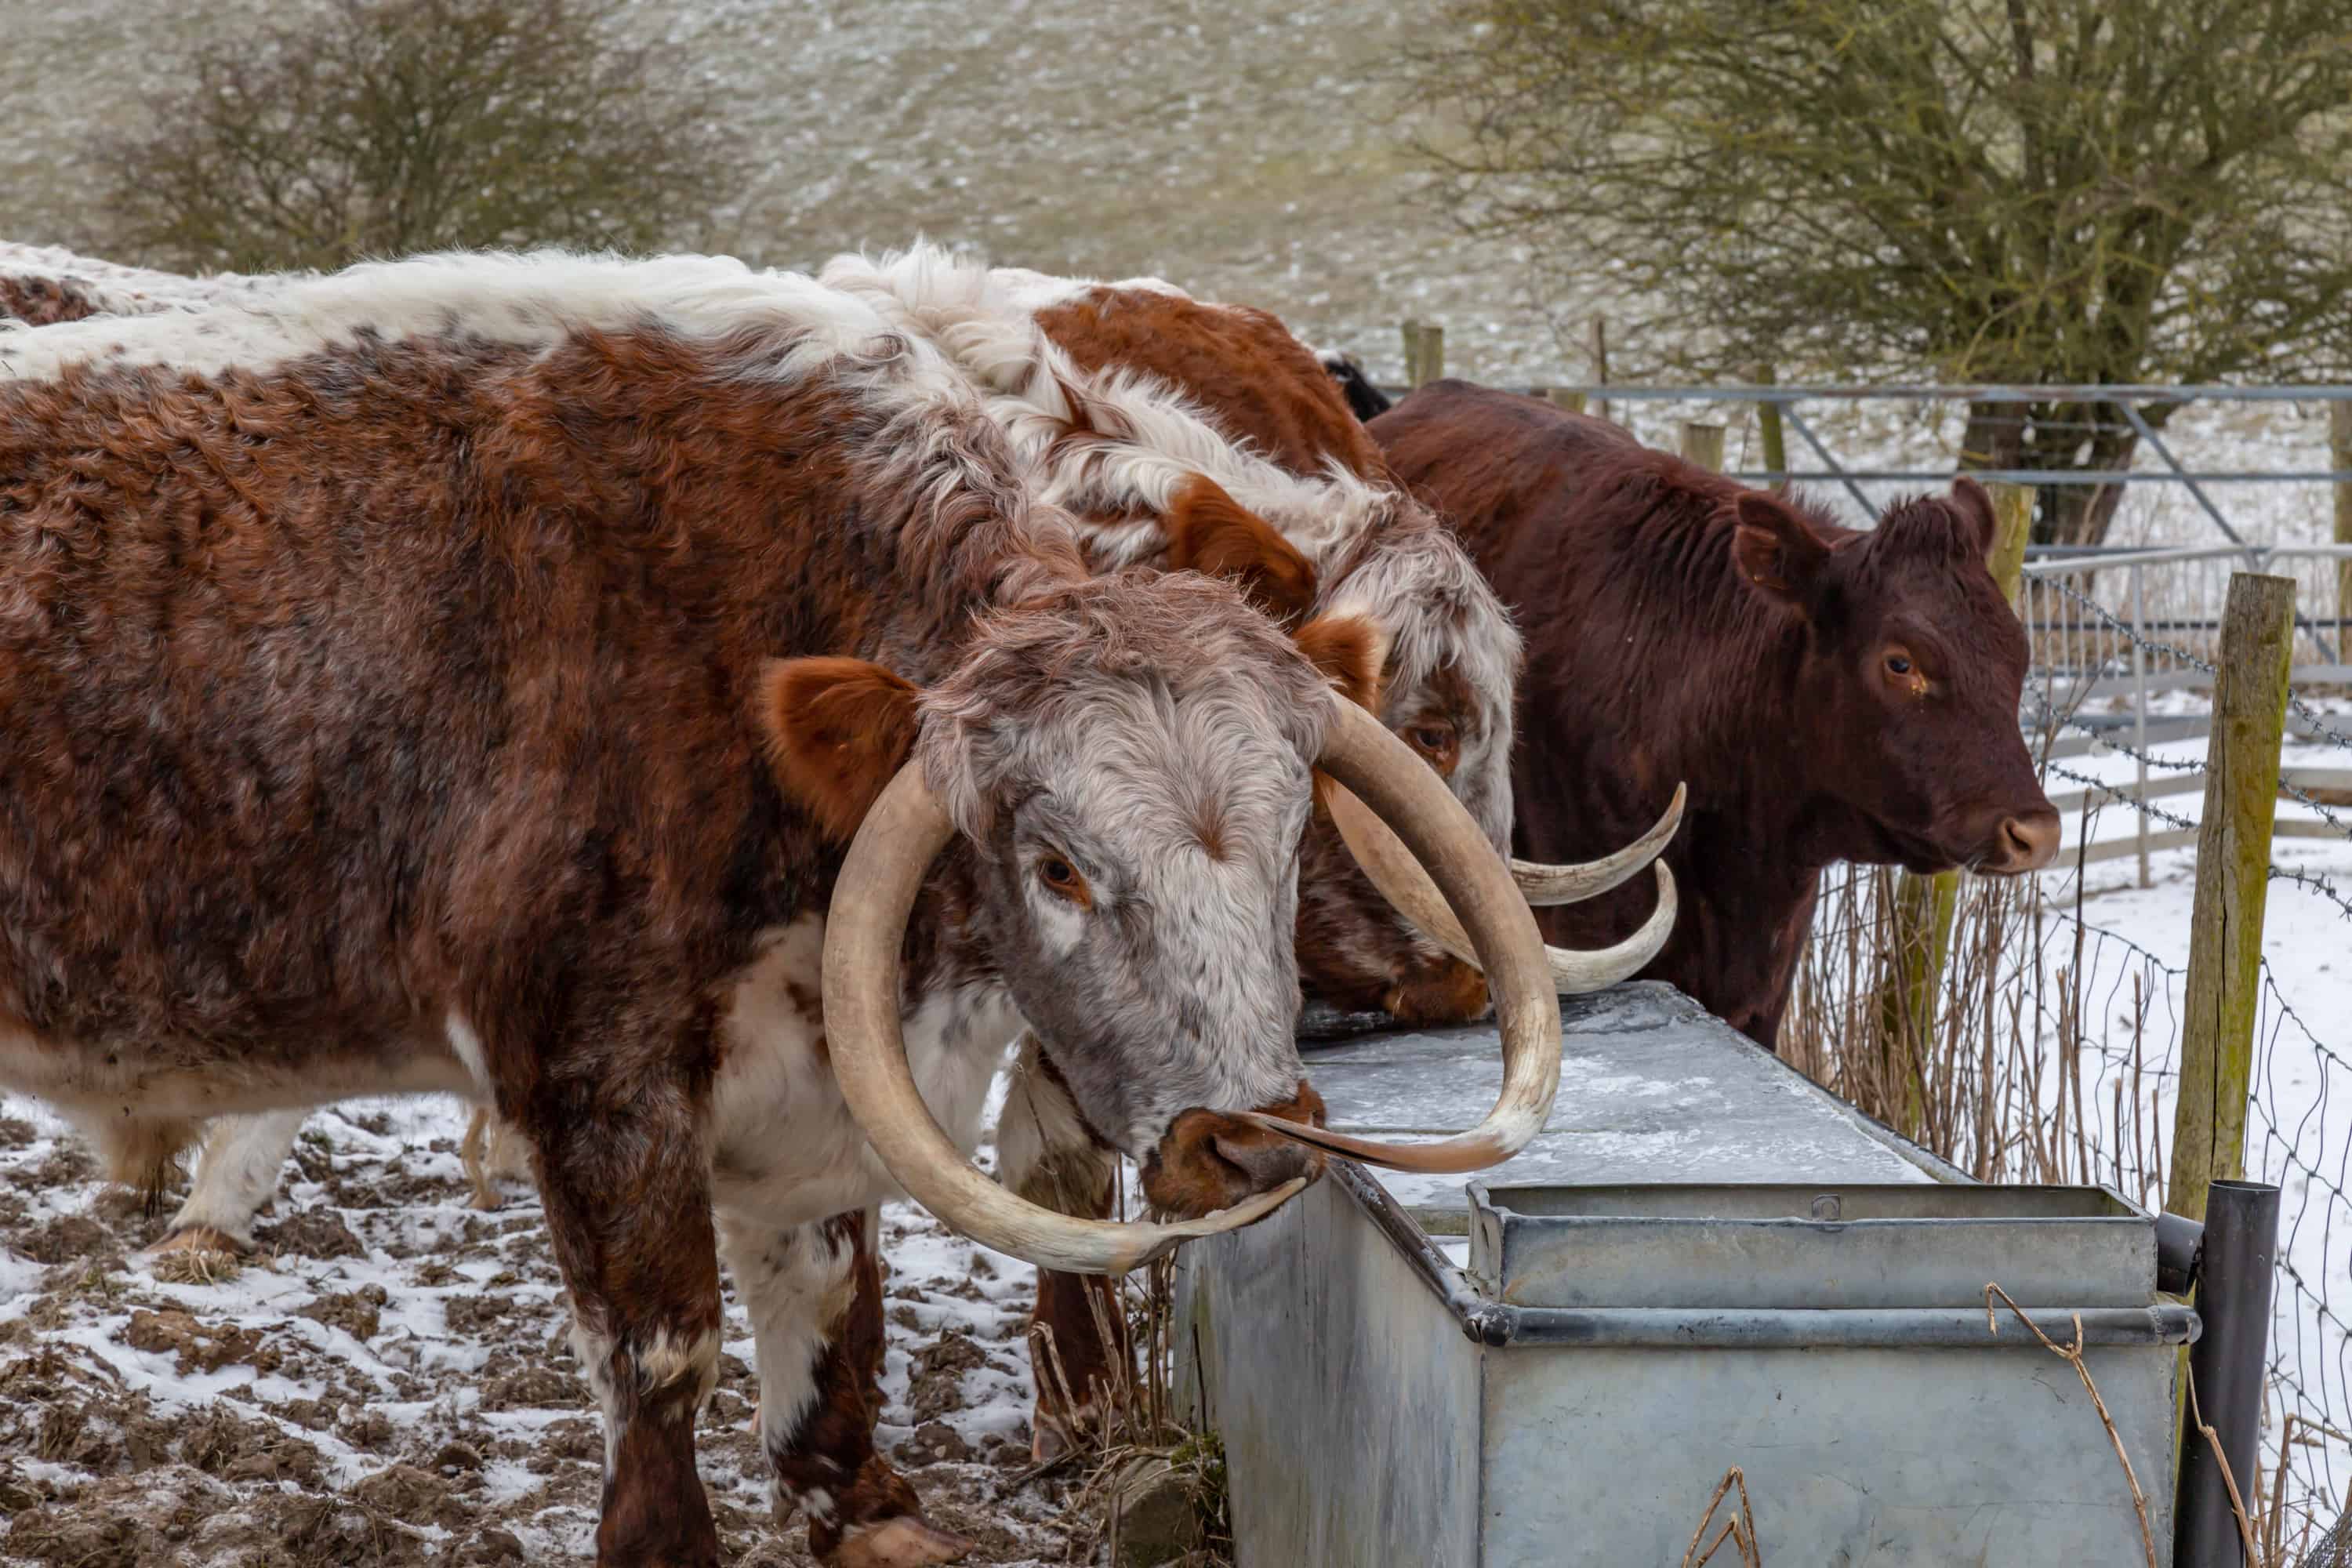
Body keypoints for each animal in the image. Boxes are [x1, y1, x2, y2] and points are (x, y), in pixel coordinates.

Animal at [0, 257, 1581, 1568]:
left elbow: (832, 1305)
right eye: (1057, 864)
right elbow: (664, 1347)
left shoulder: (819, 1063)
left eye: (1285, 829)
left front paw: (867, 1509)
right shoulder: (596, 1068)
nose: (1247, 1143)